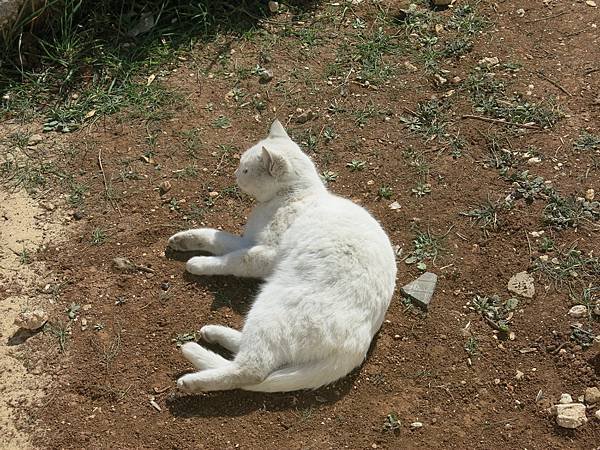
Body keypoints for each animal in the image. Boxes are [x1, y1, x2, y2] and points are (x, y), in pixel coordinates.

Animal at [166, 120, 396, 394]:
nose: (234, 175)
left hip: (270, 307)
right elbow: (214, 237)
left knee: (251, 370)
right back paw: (213, 332)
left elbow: (232, 260)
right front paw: (182, 240)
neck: (294, 195)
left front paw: (198, 263)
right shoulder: (248, 241)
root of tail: (358, 347)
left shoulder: (264, 254)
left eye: (245, 169)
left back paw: (192, 378)